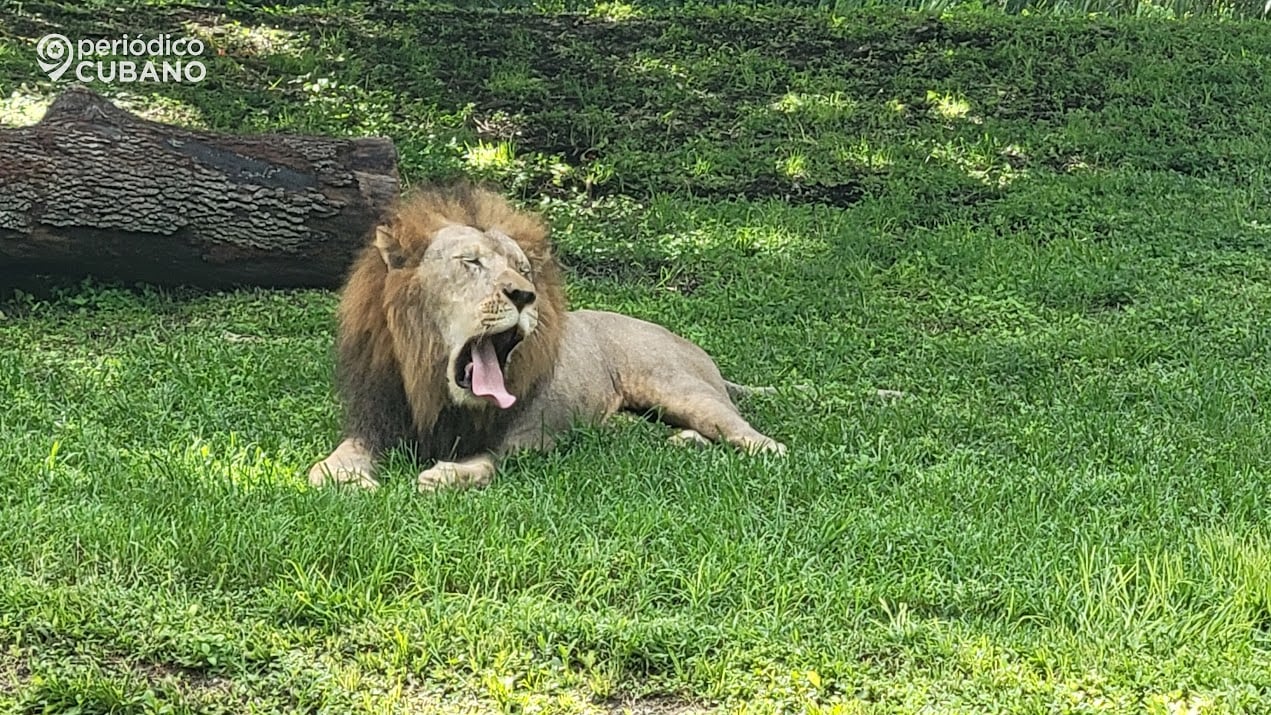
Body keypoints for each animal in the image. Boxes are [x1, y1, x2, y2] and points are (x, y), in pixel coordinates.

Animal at [309, 183, 785, 491]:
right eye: (471, 263)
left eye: (522, 268)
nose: (523, 295)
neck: (433, 387)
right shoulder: (376, 418)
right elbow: (335, 458)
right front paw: (343, 477)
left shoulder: (528, 437)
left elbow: (488, 460)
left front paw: (449, 474)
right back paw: (681, 441)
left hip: (681, 388)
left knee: (748, 432)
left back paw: (768, 452)